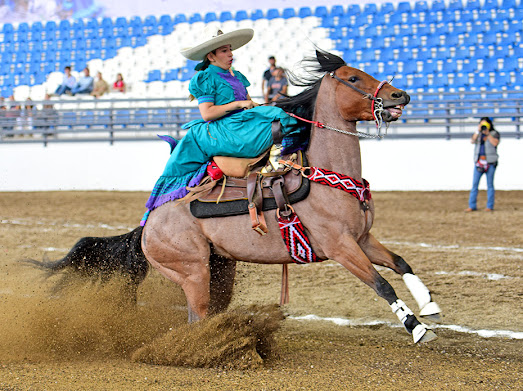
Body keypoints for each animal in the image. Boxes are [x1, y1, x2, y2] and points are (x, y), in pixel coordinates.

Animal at [140, 49, 442, 346]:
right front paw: (417, 327)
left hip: (221, 267)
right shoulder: (341, 247)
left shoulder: (362, 238)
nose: (400, 95)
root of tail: (148, 224)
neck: (327, 178)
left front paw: (430, 306)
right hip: (194, 273)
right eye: (353, 78)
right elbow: (382, 284)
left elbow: (400, 262)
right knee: (197, 318)